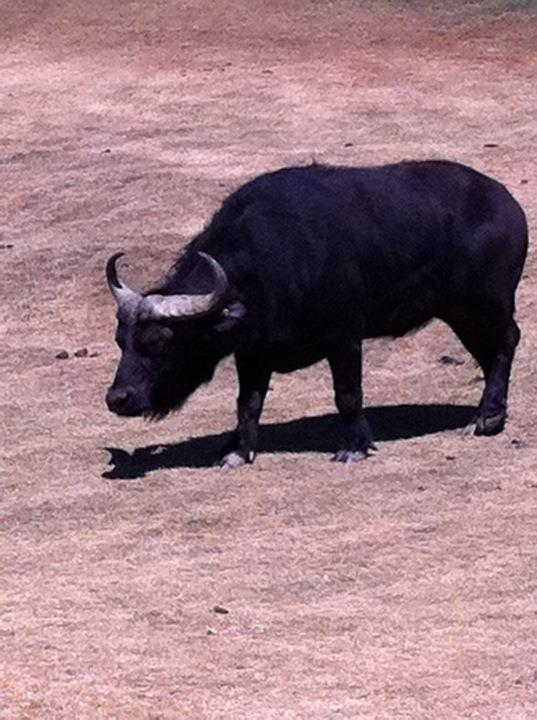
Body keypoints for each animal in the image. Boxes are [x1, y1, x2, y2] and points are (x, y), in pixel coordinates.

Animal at [106, 161, 528, 467]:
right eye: (120, 341)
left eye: (159, 342)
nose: (117, 398)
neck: (269, 262)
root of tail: (507, 203)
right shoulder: (252, 352)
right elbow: (248, 404)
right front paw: (238, 451)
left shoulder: (344, 337)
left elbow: (348, 394)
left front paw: (355, 446)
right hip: (460, 313)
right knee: (489, 354)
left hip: (485, 304)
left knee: (507, 343)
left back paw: (486, 418)